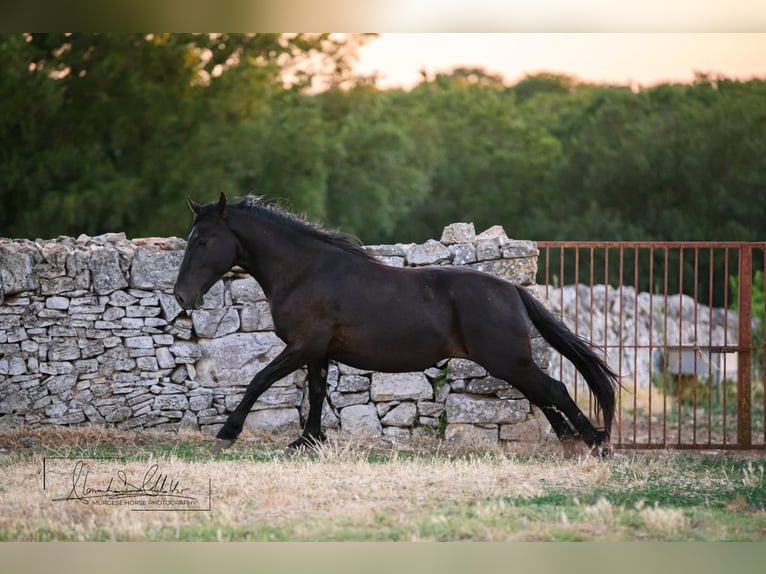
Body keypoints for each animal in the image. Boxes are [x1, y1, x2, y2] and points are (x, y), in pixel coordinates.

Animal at [173, 193, 619, 455]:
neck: (306, 272)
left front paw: (228, 431)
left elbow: (258, 380)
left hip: (507, 361)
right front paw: (308, 440)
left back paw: (594, 442)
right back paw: (572, 441)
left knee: (554, 390)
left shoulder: (301, 347)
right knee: (544, 394)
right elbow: (316, 393)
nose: (181, 296)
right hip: (510, 363)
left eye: (203, 240)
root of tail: (512, 290)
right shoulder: (317, 351)